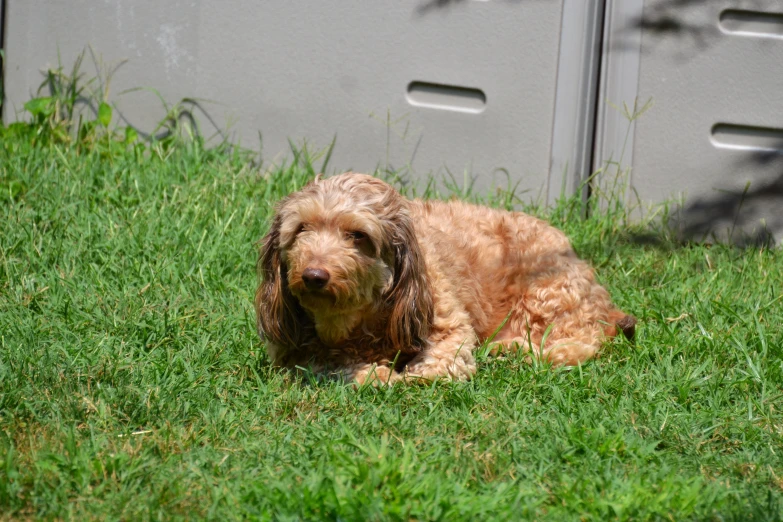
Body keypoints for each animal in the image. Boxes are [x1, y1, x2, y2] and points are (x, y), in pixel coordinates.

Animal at [258, 171, 636, 382]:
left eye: (358, 236)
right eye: (302, 229)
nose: (314, 275)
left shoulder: (447, 327)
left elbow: (433, 371)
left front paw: (388, 376)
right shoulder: (289, 351)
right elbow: (321, 363)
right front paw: (368, 371)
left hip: (547, 293)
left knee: (580, 341)